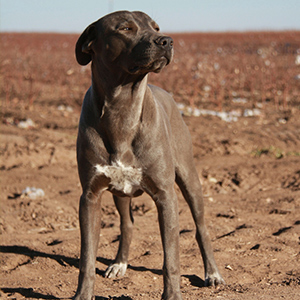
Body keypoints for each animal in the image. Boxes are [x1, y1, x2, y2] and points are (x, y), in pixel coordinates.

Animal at [74, 9, 224, 300]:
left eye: (155, 27)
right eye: (125, 28)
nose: (167, 41)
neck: (122, 108)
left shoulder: (166, 196)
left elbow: (171, 258)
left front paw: (173, 295)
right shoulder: (90, 196)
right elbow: (86, 257)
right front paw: (83, 295)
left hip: (189, 178)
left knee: (201, 228)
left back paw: (212, 273)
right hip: (121, 192)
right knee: (127, 224)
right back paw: (120, 264)